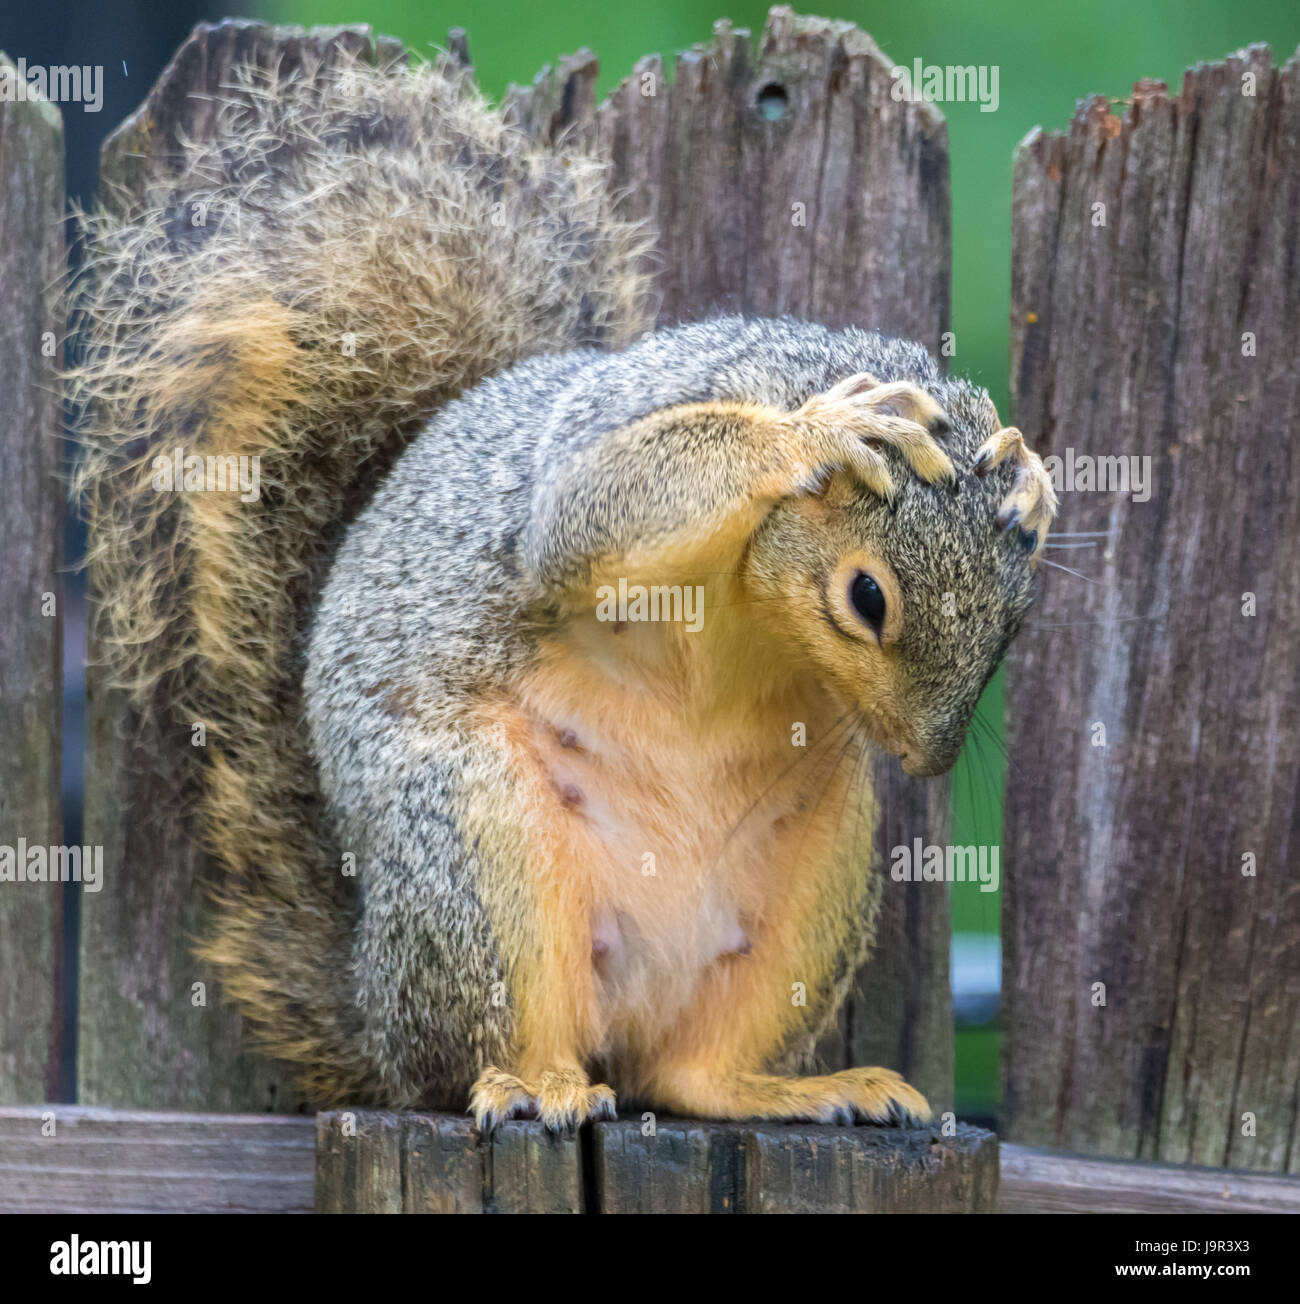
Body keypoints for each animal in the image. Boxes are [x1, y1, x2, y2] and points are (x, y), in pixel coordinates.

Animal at [71, 48, 1053, 1131]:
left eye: (1014, 623)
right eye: (867, 599)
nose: (926, 760)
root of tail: (373, 1012)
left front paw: (1032, 478)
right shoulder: (626, 430)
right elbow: (590, 505)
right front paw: (819, 432)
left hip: (821, 862)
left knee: (689, 1073)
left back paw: (798, 1085)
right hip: (473, 835)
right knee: (472, 1056)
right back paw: (534, 1084)